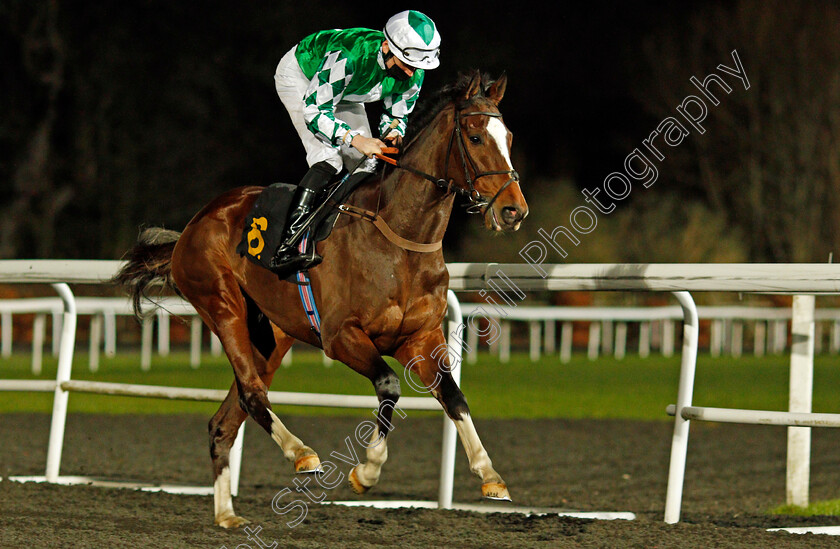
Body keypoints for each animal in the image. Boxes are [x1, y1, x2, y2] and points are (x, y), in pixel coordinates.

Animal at [115, 69, 528, 528]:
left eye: (508, 137)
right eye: (475, 137)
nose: (514, 210)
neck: (399, 240)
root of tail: (194, 223)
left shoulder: (420, 338)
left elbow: (454, 396)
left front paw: (491, 476)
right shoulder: (341, 335)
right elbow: (388, 385)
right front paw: (366, 471)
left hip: (272, 337)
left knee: (226, 419)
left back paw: (227, 514)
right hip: (221, 305)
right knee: (252, 393)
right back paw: (301, 453)